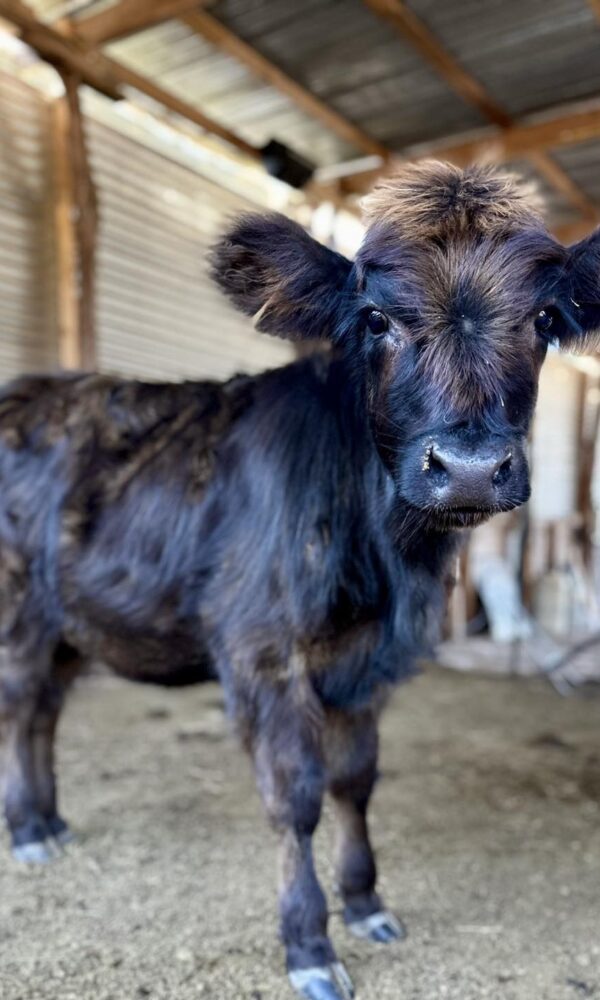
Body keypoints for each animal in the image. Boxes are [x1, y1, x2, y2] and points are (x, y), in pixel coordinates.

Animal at [1, 161, 599, 1000]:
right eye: (375, 320)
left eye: (545, 318)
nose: (471, 468)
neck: (383, 561)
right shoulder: (263, 650)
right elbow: (297, 796)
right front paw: (309, 943)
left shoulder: (367, 659)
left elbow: (355, 780)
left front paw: (366, 903)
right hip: (17, 606)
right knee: (19, 707)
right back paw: (27, 829)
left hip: (68, 625)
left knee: (45, 710)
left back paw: (50, 820)